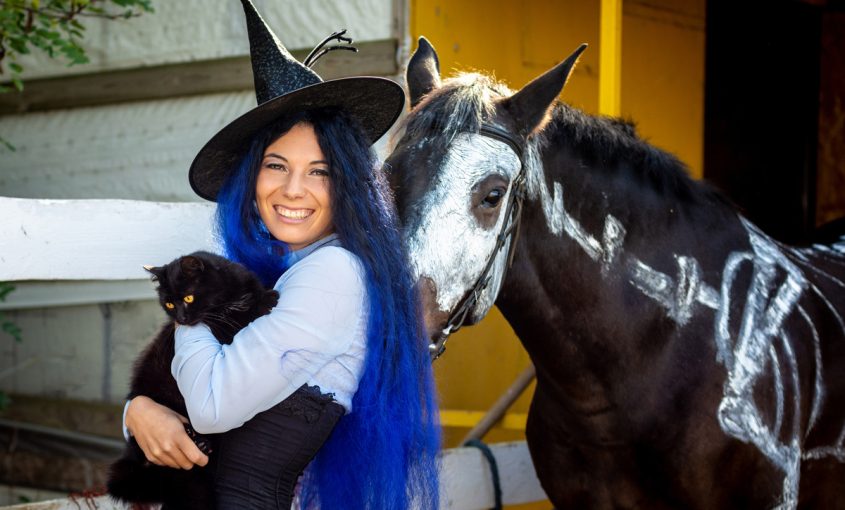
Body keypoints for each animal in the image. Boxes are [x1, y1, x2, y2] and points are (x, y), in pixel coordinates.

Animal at [107, 252, 278, 510]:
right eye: (168, 304)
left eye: (189, 298)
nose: (181, 318)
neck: (229, 296)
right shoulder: (222, 331)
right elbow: (239, 318)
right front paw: (265, 301)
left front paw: (267, 294)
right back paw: (197, 441)